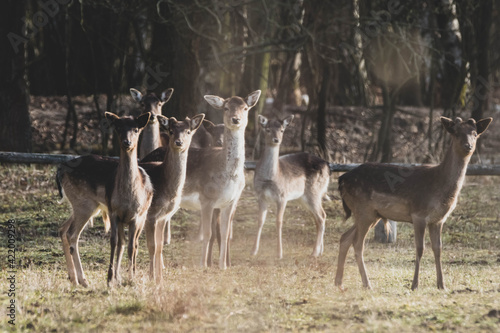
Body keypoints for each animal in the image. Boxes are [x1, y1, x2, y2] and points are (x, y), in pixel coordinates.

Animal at [104, 112, 154, 286]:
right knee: (121, 243)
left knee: (136, 244)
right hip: (121, 221)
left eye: (136, 129)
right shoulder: (113, 212)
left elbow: (132, 246)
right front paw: (110, 277)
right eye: (118, 128)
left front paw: (131, 277)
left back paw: (132, 272)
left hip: (144, 217)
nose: (127, 142)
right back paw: (117, 275)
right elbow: (114, 242)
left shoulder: (136, 216)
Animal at [252, 115, 330, 258]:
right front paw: (253, 251)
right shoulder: (260, 196)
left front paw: (279, 253)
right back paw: (320, 251)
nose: (276, 140)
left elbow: (279, 222)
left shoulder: (282, 196)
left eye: (282, 130)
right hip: (304, 198)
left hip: (314, 192)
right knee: (318, 217)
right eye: (267, 129)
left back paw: (314, 252)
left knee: (322, 216)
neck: (269, 178)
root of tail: (327, 166)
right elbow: (260, 220)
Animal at [336, 116, 492, 288]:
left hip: (370, 214)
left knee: (345, 238)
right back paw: (367, 284)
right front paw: (414, 284)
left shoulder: (438, 219)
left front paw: (442, 285)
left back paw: (339, 282)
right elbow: (420, 248)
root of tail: (341, 179)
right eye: (456, 132)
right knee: (357, 243)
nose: (468, 146)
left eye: (475, 133)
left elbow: (438, 249)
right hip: (363, 210)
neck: (440, 187)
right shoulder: (419, 214)